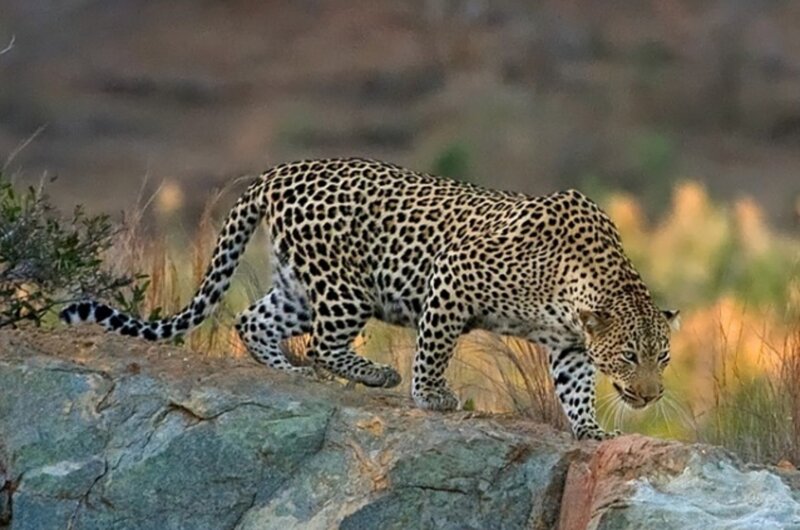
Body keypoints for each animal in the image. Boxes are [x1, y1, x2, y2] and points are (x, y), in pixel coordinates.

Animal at [61, 157, 679, 440]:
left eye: (663, 358)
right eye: (630, 357)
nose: (651, 395)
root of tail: (277, 171)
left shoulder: (572, 344)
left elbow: (576, 390)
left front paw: (592, 432)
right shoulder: (452, 278)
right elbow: (434, 349)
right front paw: (431, 397)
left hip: (300, 286)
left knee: (253, 321)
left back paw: (289, 372)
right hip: (345, 288)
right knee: (325, 344)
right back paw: (373, 374)